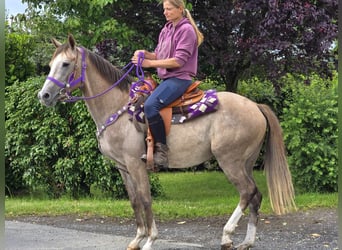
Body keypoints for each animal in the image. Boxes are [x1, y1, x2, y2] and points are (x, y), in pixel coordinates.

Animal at [36, 34, 294, 250]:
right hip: (246, 162)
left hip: (229, 161)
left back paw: (227, 235)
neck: (118, 109)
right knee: (255, 196)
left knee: (246, 192)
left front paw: (150, 240)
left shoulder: (136, 164)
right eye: (50, 64)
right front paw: (137, 239)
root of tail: (255, 106)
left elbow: (145, 199)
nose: (44, 96)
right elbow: (134, 201)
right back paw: (247, 242)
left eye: (66, 64)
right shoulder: (122, 168)